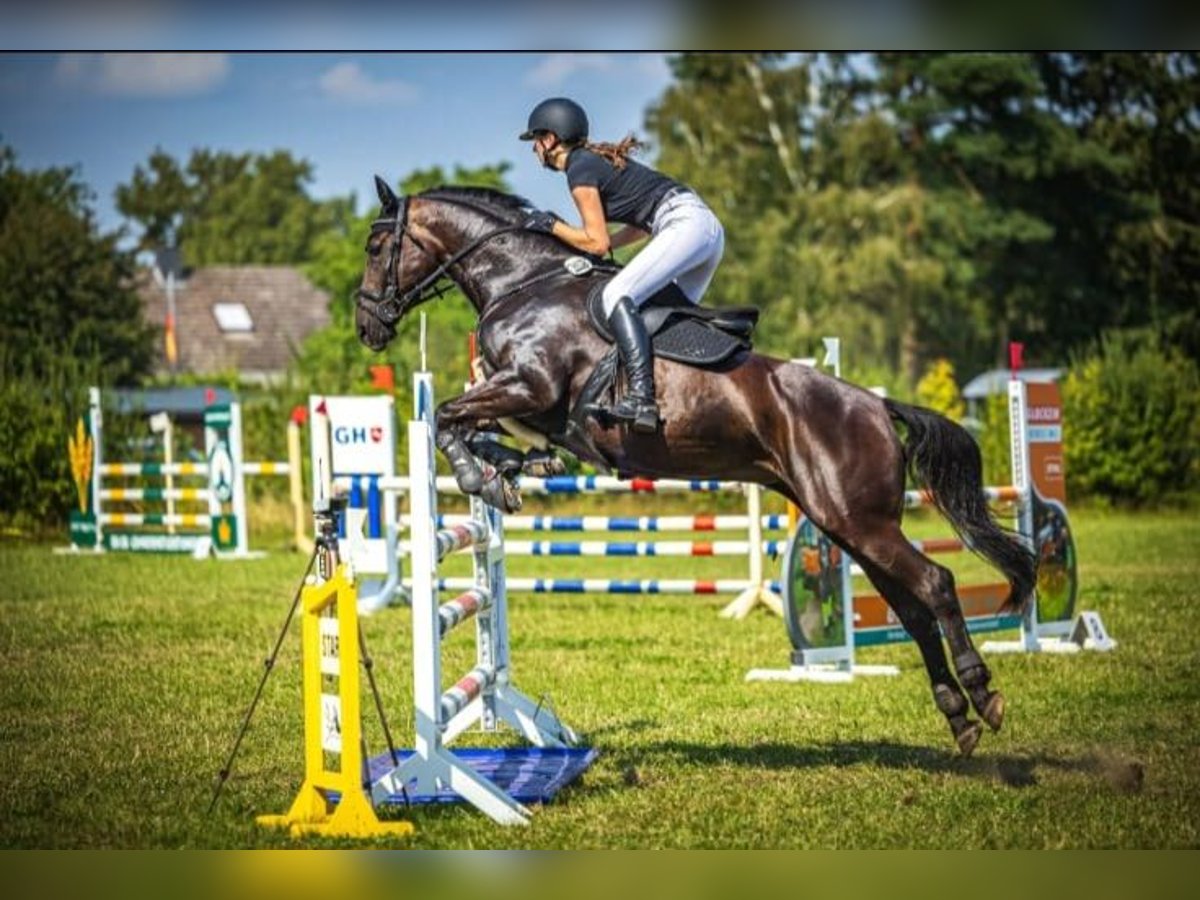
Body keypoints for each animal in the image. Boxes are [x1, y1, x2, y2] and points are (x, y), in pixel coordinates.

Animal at [350, 174, 1036, 753]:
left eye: (378, 244)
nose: (365, 325)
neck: (523, 283)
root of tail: (875, 403)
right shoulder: (523, 402)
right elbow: (469, 423)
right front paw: (510, 471)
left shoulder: (528, 387)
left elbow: (446, 415)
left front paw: (483, 476)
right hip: (847, 525)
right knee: (913, 609)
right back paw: (958, 717)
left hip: (860, 521)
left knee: (936, 585)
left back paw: (982, 693)